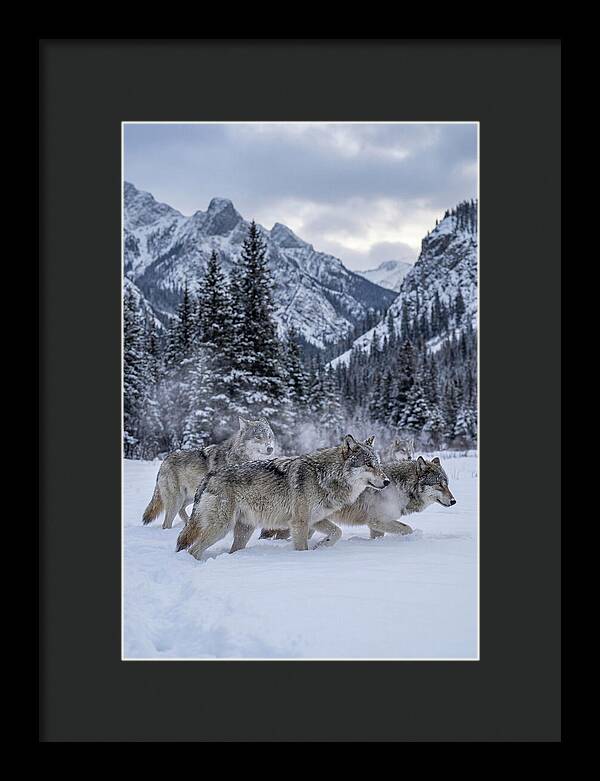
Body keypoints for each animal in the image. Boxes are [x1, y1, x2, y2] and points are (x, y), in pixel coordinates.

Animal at [142, 417, 275, 529]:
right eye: (258, 437)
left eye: (269, 436)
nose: (270, 448)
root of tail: (165, 460)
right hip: (177, 500)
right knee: (166, 523)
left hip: (190, 497)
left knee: (181, 511)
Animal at [175, 435, 389, 559]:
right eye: (368, 465)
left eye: (378, 464)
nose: (386, 481)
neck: (325, 476)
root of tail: (209, 476)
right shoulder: (299, 523)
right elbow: (302, 548)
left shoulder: (315, 520)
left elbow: (337, 532)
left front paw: (322, 545)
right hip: (221, 528)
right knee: (193, 549)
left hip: (244, 530)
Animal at [261, 456, 455, 543]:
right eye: (439, 485)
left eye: (447, 484)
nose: (454, 501)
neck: (399, 487)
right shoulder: (377, 521)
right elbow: (407, 529)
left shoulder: (376, 526)